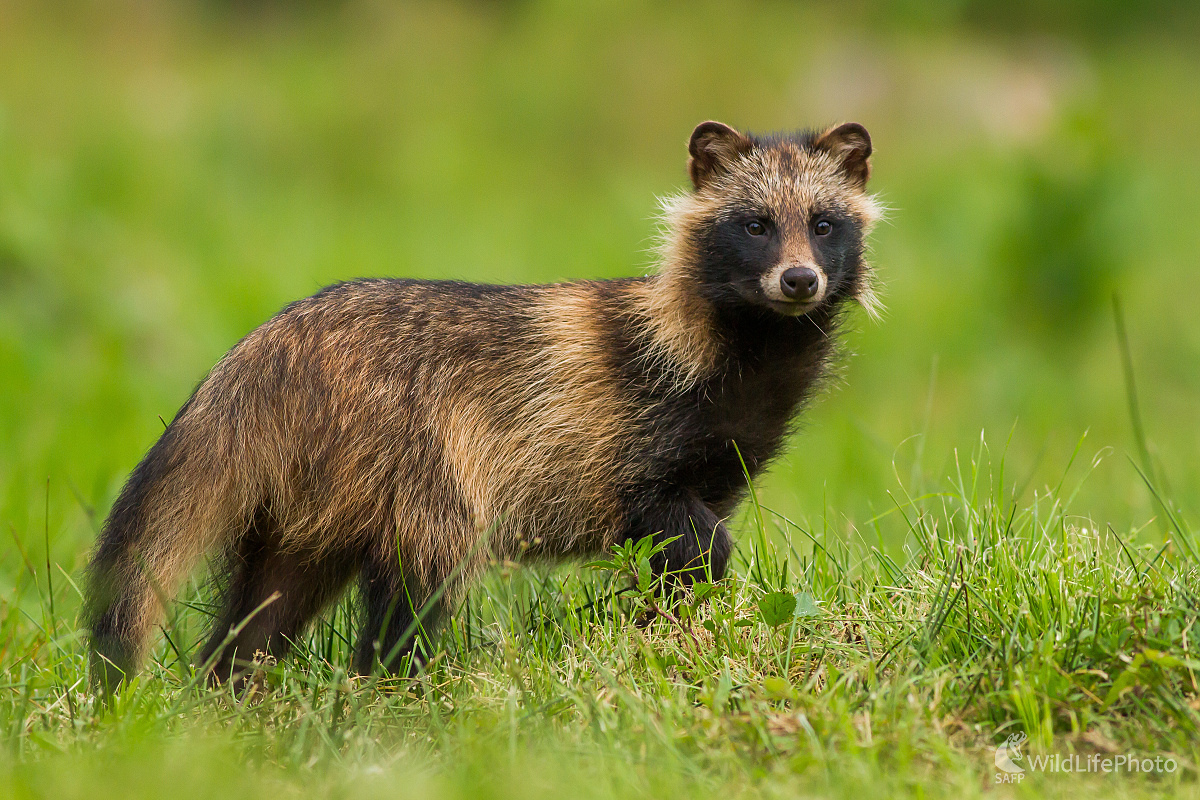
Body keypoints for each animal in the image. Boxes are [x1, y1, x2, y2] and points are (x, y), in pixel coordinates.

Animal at [82, 122, 873, 690]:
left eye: (825, 223)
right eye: (755, 224)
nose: (798, 280)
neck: (749, 356)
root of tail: (257, 361)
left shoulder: (716, 459)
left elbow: (681, 559)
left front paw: (668, 624)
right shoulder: (623, 435)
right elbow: (688, 535)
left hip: (304, 509)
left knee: (263, 610)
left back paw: (234, 691)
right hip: (407, 459)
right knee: (414, 590)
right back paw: (395, 688)